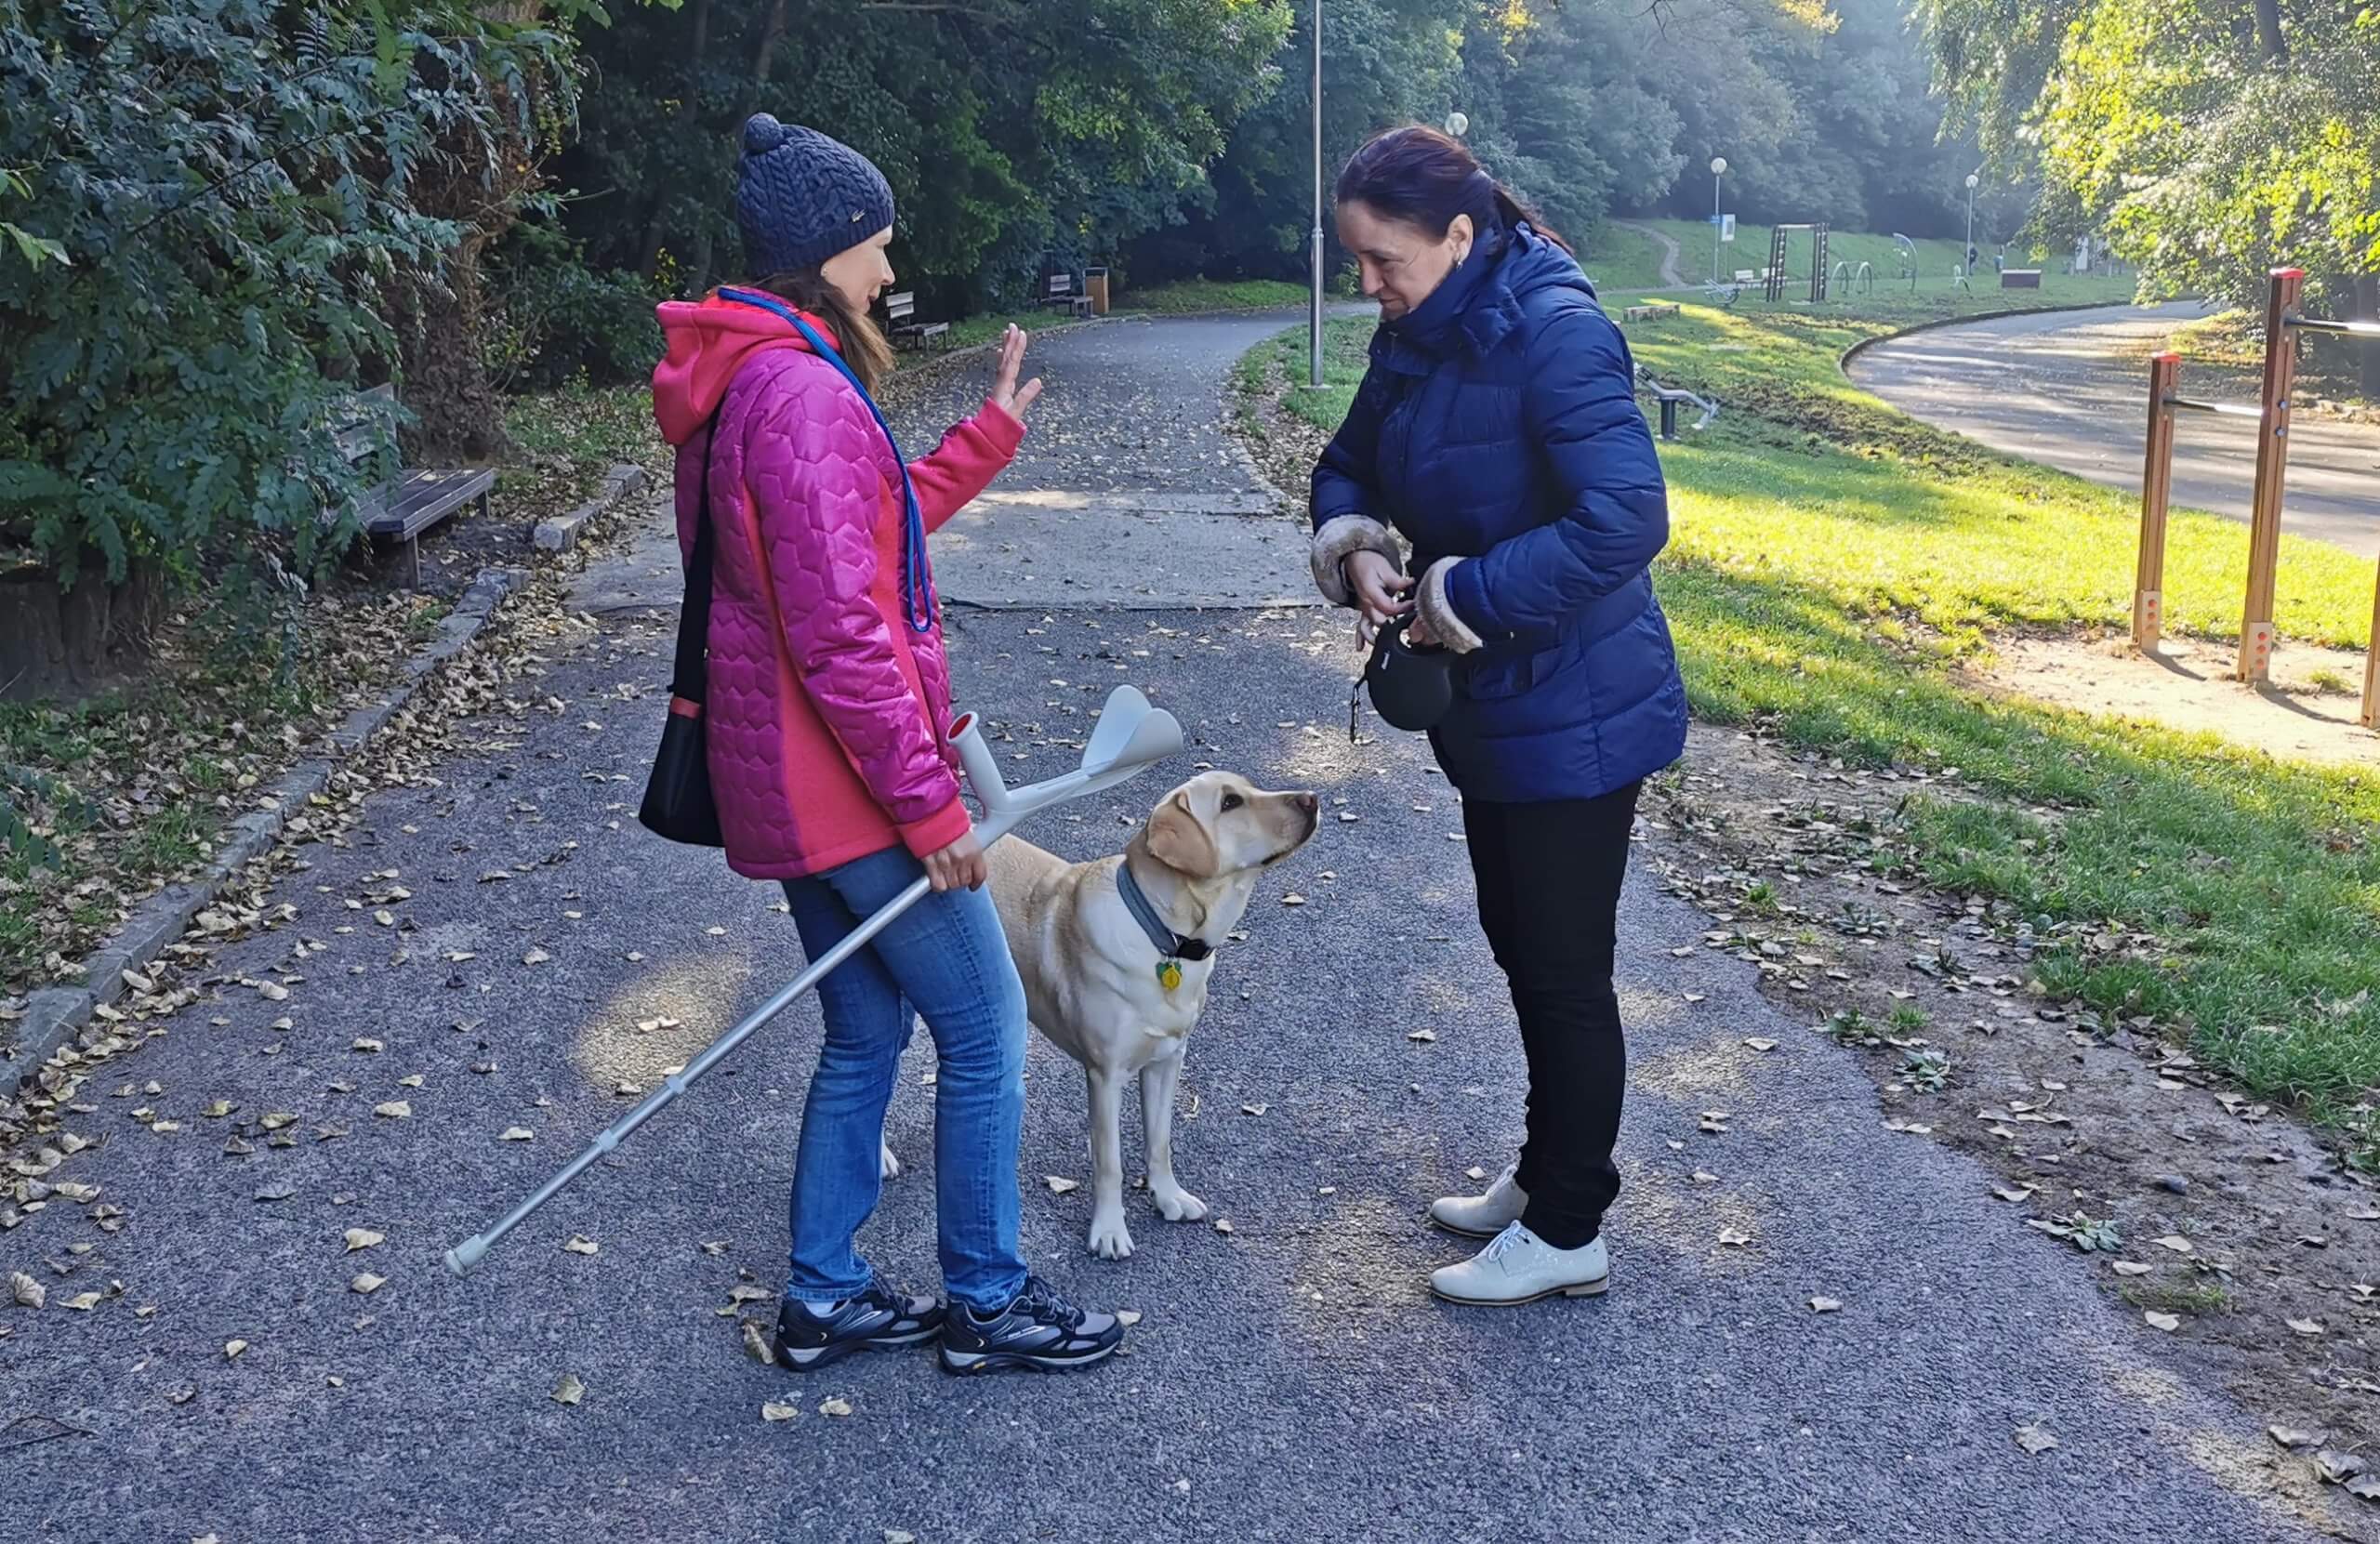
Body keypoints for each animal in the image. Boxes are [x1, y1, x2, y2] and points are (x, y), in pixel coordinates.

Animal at [985, 771, 1323, 1265]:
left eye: (1247, 788)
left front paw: (1167, 1196)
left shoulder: (1167, 1060)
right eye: (1230, 803)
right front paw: (1109, 1230)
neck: (1167, 939)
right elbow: (1109, 1162)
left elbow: (1159, 1141)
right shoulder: (1104, 1075)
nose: (1313, 798)